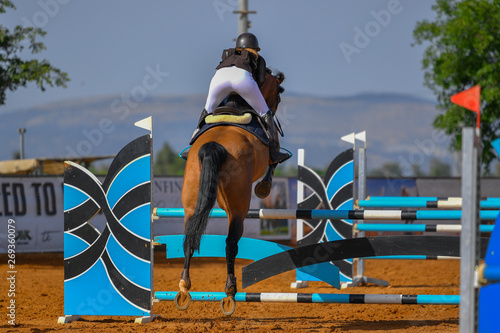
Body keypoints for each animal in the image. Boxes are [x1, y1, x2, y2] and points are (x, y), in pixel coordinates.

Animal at [175, 69, 286, 314]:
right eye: (278, 96)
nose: (273, 109)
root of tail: (214, 145)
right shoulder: (272, 148)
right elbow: (274, 162)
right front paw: (263, 188)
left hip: (191, 204)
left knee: (189, 238)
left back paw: (184, 288)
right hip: (237, 209)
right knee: (230, 244)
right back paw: (230, 293)